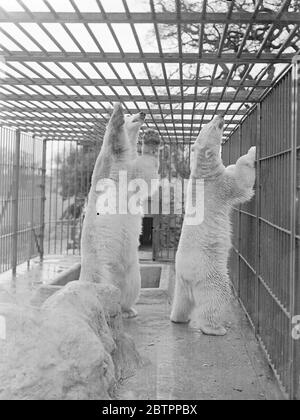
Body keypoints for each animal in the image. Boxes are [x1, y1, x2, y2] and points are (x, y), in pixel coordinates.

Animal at [78, 104, 161, 318]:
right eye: (132, 113)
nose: (143, 113)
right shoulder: (109, 166)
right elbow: (115, 140)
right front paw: (117, 114)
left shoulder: (131, 174)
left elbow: (144, 174)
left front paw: (152, 138)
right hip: (99, 263)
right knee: (100, 283)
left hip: (132, 273)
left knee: (130, 288)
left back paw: (128, 309)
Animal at [170, 115, 256, 338]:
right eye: (209, 126)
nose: (220, 116)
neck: (203, 173)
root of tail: (187, 275)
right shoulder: (221, 185)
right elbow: (242, 180)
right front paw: (252, 151)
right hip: (209, 272)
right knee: (216, 296)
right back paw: (216, 328)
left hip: (180, 281)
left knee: (181, 301)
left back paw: (177, 318)